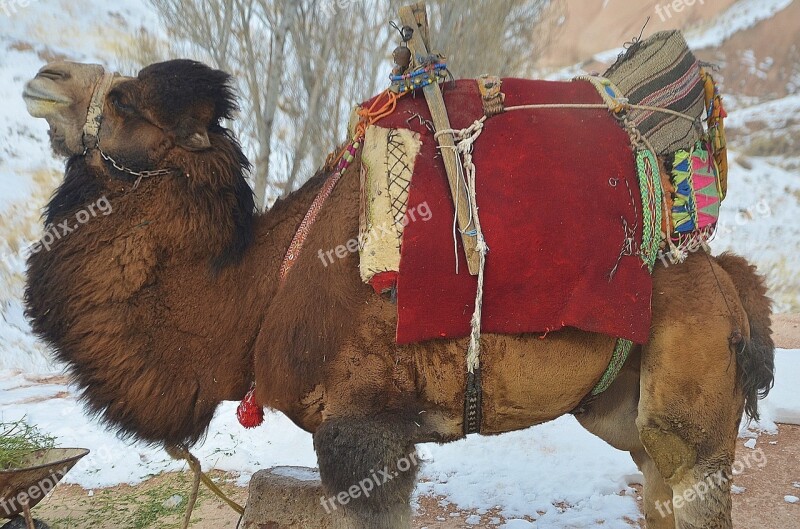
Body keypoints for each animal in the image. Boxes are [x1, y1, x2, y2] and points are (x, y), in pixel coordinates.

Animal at [23, 59, 776, 524]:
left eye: (123, 100)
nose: (43, 78)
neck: (259, 290)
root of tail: (725, 278)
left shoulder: (365, 428)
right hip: (623, 403)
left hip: (693, 408)